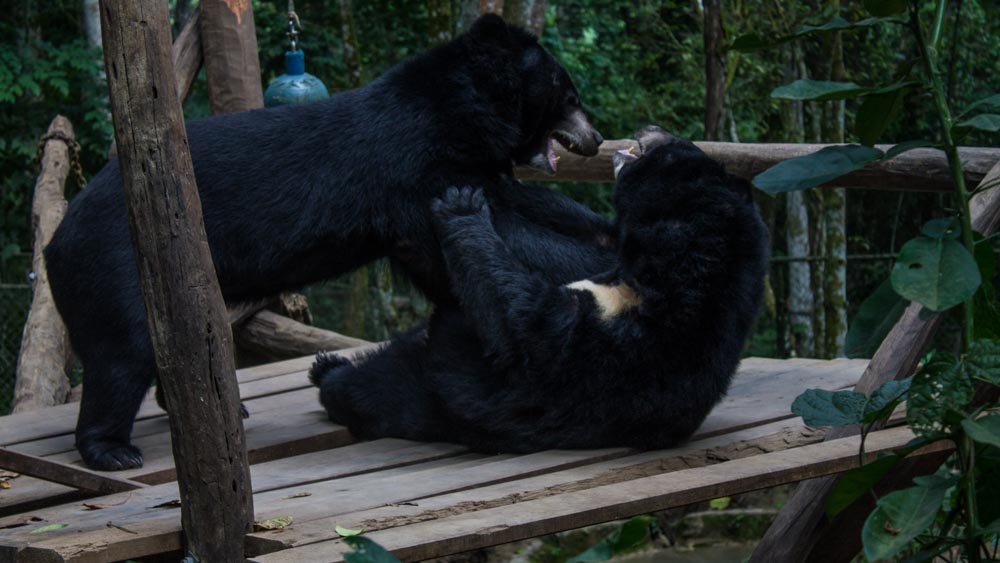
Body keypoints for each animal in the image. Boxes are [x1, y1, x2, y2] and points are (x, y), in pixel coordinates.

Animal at [45, 14, 608, 472]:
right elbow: (495, 231)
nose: (597, 138)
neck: (458, 114)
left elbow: (523, 213)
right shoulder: (412, 173)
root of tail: (56, 240)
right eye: (572, 98)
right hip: (116, 264)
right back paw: (113, 450)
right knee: (123, 352)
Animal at [312, 129, 772, 454]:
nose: (651, 128)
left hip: (423, 396)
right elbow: (586, 245)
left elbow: (521, 324)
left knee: (373, 389)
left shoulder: (621, 340)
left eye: (674, 149)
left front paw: (461, 206)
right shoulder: (612, 268)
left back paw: (330, 375)